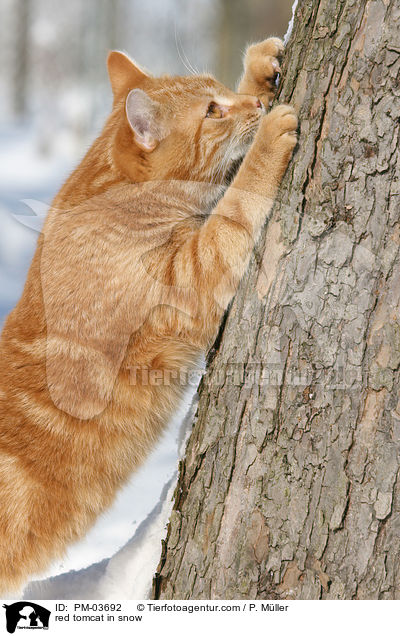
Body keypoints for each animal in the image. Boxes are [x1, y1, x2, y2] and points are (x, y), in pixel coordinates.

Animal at [0, 37, 296, 592]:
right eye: (212, 112)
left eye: (220, 91)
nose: (255, 106)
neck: (108, 191)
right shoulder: (191, 279)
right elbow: (235, 207)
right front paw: (267, 137)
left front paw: (260, 70)